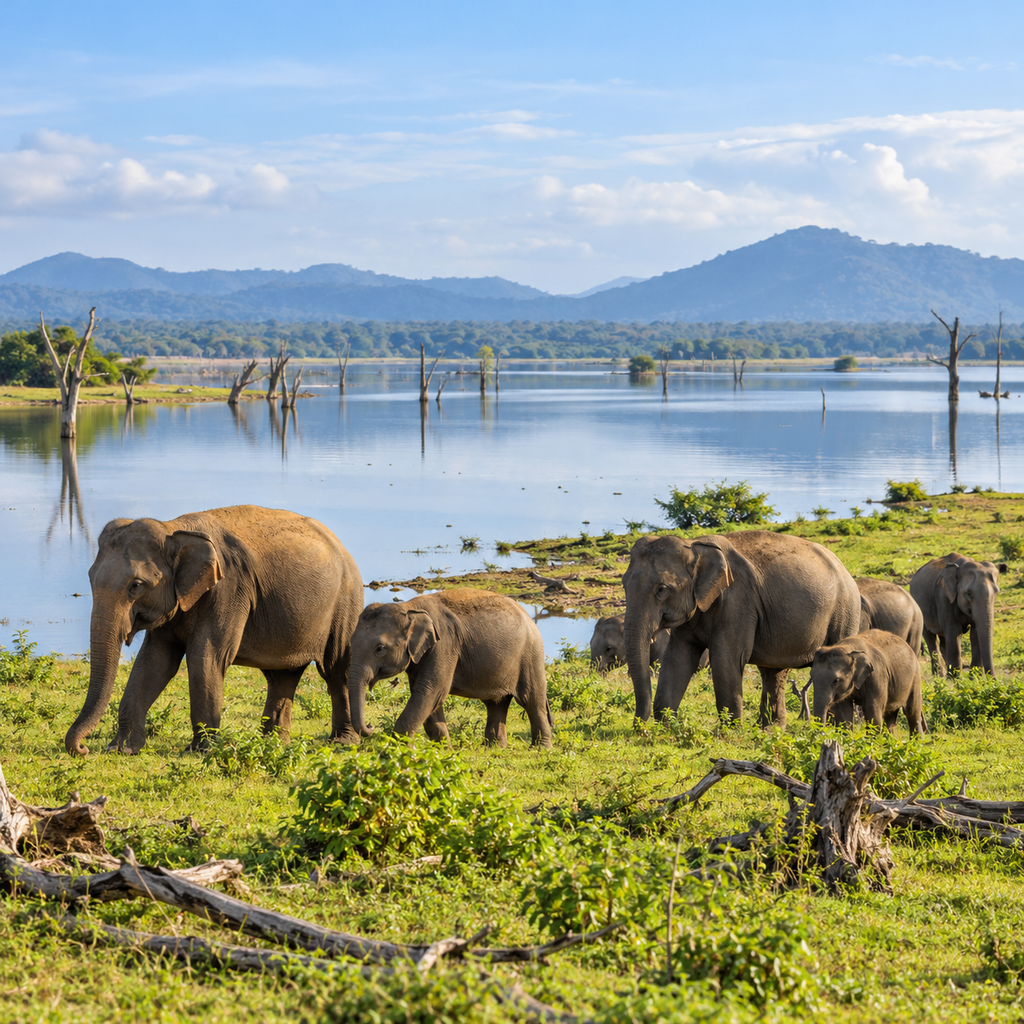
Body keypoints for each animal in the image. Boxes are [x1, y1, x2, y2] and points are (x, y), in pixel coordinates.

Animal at [65, 505, 363, 756]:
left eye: (136, 585)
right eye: (90, 577)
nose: (83, 749)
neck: (174, 528)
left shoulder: (228, 590)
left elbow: (206, 658)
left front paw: (199, 752)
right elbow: (154, 663)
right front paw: (122, 749)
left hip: (346, 602)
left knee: (335, 668)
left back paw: (343, 740)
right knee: (282, 676)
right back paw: (272, 743)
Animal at [347, 588, 552, 748]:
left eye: (380, 648)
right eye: (351, 643)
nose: (371, 726)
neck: (409, 608)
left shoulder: (444, 644)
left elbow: (430, 691)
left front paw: (405, 750)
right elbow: (427, 697)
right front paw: (444, 751)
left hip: (531, 655)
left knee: (532, 700)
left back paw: (540, 749)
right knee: (497, 703)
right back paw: (495, 748)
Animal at [622, 530, 860, 727]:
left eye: (662, 589)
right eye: (624, 583)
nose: (639, 728)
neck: (694, 545)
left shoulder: (738, 602)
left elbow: (727, 659)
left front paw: (730, 732)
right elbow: (678, 657)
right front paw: (665, 726)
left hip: (845, 614)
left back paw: (836, 729)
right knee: (774, 672)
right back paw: (771, 729)